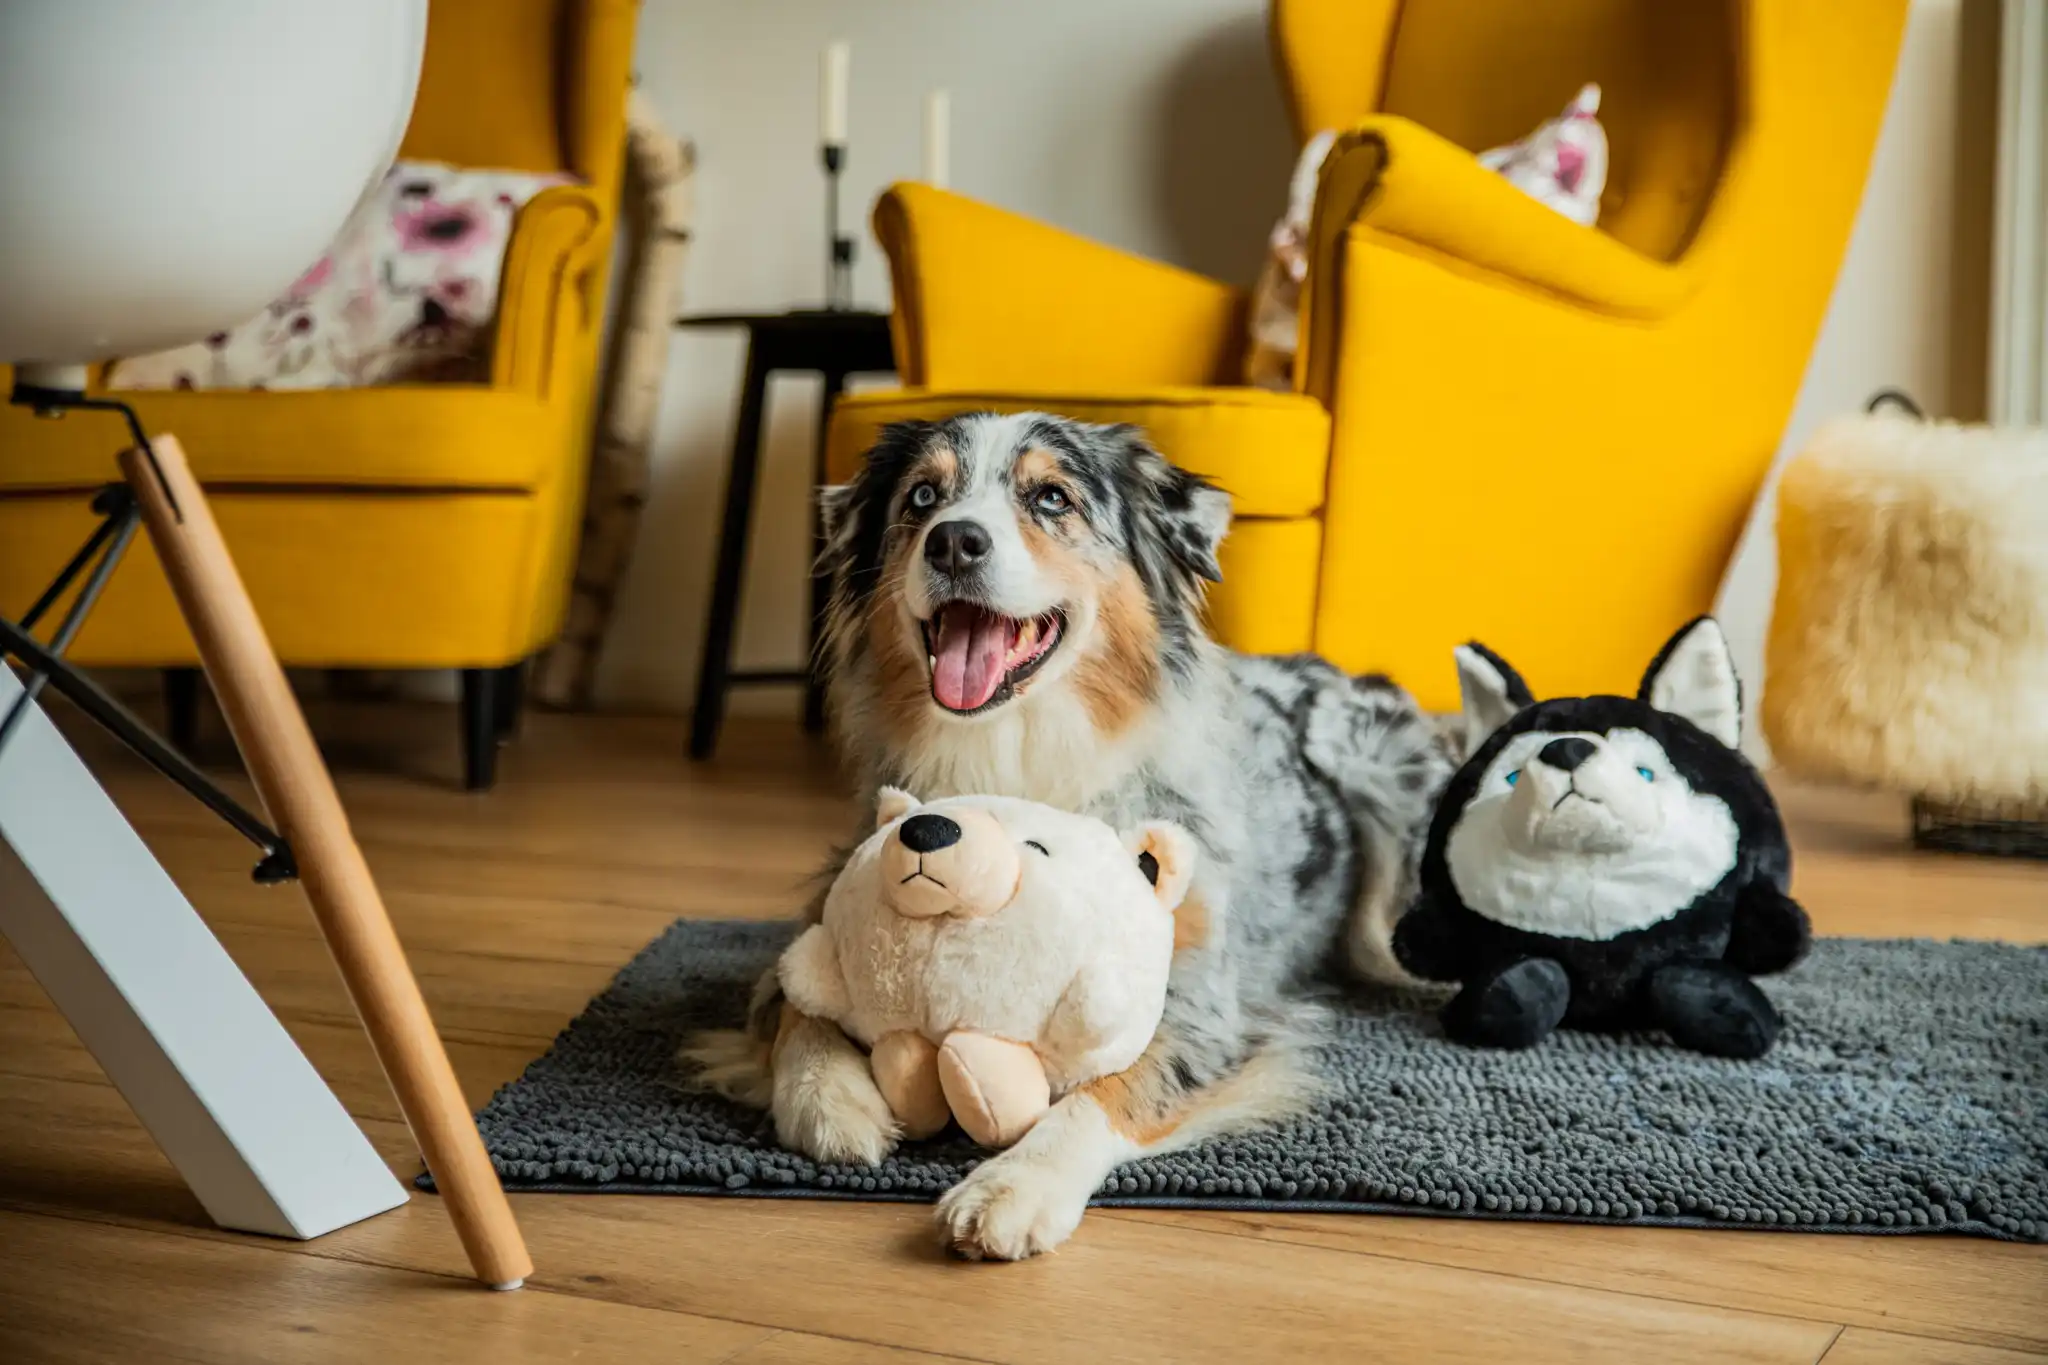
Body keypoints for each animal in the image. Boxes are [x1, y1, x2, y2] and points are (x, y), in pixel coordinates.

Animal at [696, 413, 1449, 1260]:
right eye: (922, 496)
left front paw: (1012, 1187)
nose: (954, 541)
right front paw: (831, 1102)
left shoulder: (1195, 997)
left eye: (1052, 497)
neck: (1012, 756)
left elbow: (1105, 1090)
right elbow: (798, 1006)